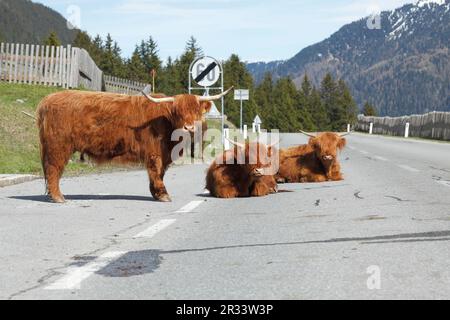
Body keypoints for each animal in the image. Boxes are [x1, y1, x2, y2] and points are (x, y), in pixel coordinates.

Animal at [37, 87, 232, 202]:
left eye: (197, 111)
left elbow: (159, 173)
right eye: (177, 112)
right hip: (58, 147)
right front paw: (163, 195)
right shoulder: (154, 153)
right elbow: (156, 172)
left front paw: (156, 193)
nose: (189, 127)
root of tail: (47, 100)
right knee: (53, 170)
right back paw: (59, 197)